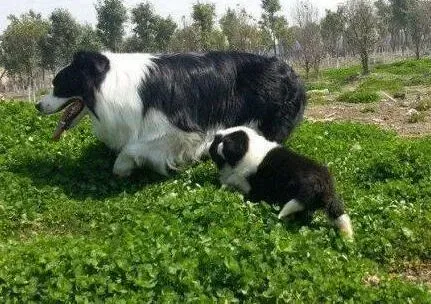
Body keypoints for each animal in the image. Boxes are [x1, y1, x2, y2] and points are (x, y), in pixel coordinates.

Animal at [36, 51, 308, 177]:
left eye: (58, 84)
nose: (37, 106)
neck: (108, 83)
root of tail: (291, 71)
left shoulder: (180, 129)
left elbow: (133, 148)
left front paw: (123, 168)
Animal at [209, 126, 354, 240]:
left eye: (217, 142)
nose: (208, 145)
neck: (246, 149)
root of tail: (321, 184)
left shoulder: (246, 182)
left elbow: (232, 181)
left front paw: (223, 186)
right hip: (328, 201)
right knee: (339, 214)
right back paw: (348, 236)